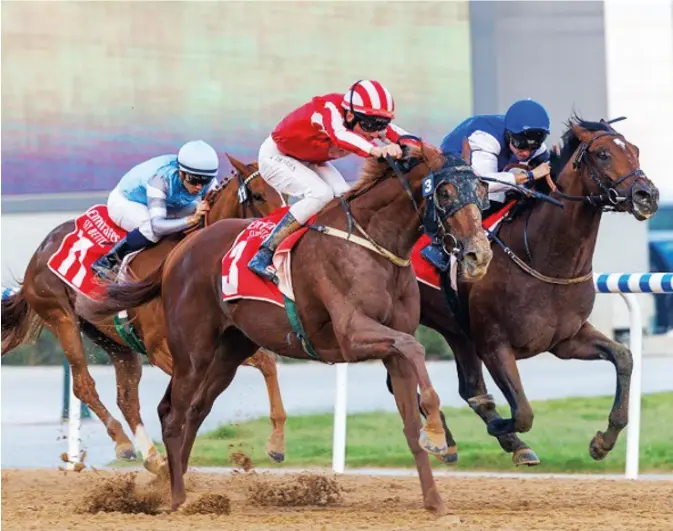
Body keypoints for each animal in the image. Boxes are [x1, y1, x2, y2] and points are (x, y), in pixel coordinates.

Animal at [0, 155, 284, 474]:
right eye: (258, 195)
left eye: (284, 194)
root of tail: (37, 254)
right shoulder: (161, 350)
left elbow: (267, 363)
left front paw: (276, 443)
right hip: (62, 318)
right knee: (84, 385)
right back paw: (123, 442)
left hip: (114, 340)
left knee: (126, 398)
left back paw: (152, 456)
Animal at [86, 145, 490, 516]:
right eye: (445, 191)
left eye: (481, 188)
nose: (479, 254)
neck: (372, 243)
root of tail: (178, 251)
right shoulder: (353, 334)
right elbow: (414, 348)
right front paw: (437, 434)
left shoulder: (390, 347)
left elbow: (408, 415)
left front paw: (435, 499)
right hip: (192, 350)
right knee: (173, 414)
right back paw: (178, 499)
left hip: (230, 350)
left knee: (194, 410)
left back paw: (174, 485)